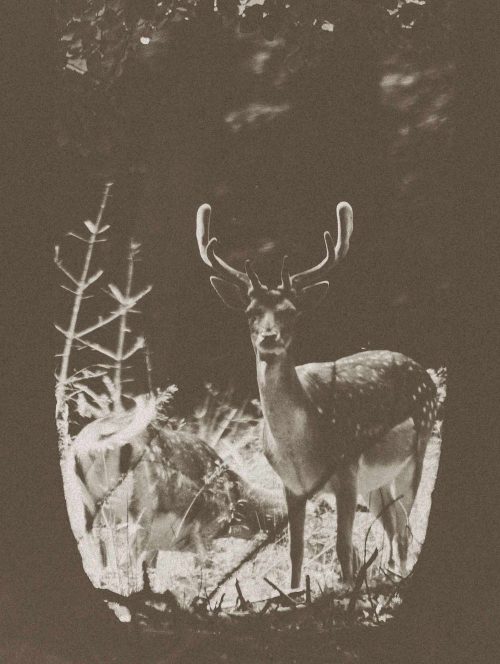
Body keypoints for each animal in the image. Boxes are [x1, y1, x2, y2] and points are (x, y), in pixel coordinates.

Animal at [196, 202, 438, 589]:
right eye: (251, 313)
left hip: (417, 451)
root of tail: (423, 373)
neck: (299, 448)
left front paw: (348, 593)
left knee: (403, 531)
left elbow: (343, 548)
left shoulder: (346, 471)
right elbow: (296, 552)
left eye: (291, 312)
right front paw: (294, 593)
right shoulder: (291, 487)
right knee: (394, 527)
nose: (269, 337)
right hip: (376, 482)